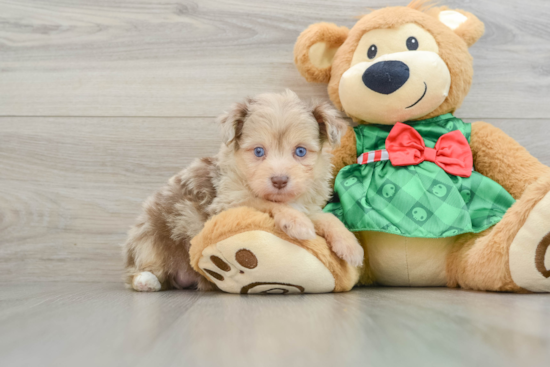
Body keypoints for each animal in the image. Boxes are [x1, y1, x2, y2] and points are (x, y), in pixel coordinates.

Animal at [126, 90, 364, 292]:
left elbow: (327, 218)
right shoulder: (229, 201)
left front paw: (350, 245)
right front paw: (297, 223)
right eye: (258, 151)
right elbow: (265, 202)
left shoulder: (306, 205)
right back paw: (146, 280)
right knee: (138, 269)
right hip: (149, 241)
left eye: (300, 151)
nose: (279, 180)